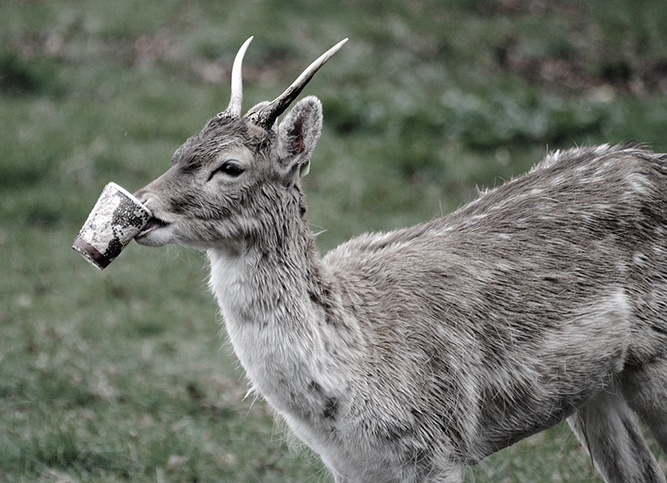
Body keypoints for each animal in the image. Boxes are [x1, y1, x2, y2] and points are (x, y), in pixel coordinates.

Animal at [133, 37, 667, 483]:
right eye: (180, 150)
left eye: (230, 167)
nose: (142, 208)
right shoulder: (353, 468)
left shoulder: (438, 446)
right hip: (594, 387)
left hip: (655, 359)